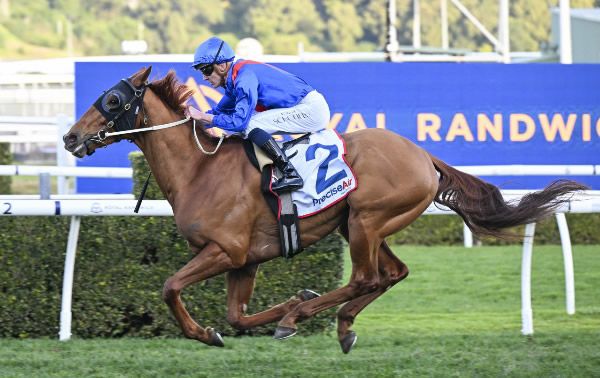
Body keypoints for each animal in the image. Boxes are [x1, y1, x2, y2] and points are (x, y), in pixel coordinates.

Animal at [63, 66, 588, 352]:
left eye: (113, 99)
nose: (69, 137)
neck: (200, 168)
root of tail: (424, 155)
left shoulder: (225, 251)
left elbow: (170, 287)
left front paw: (212, 331)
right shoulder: (244, 260)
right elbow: (238, 317)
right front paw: (275, 310)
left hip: (367, 220)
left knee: (365, 277)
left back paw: (307, 317)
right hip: (363, 226)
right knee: (391, 274)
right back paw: (340, 325)